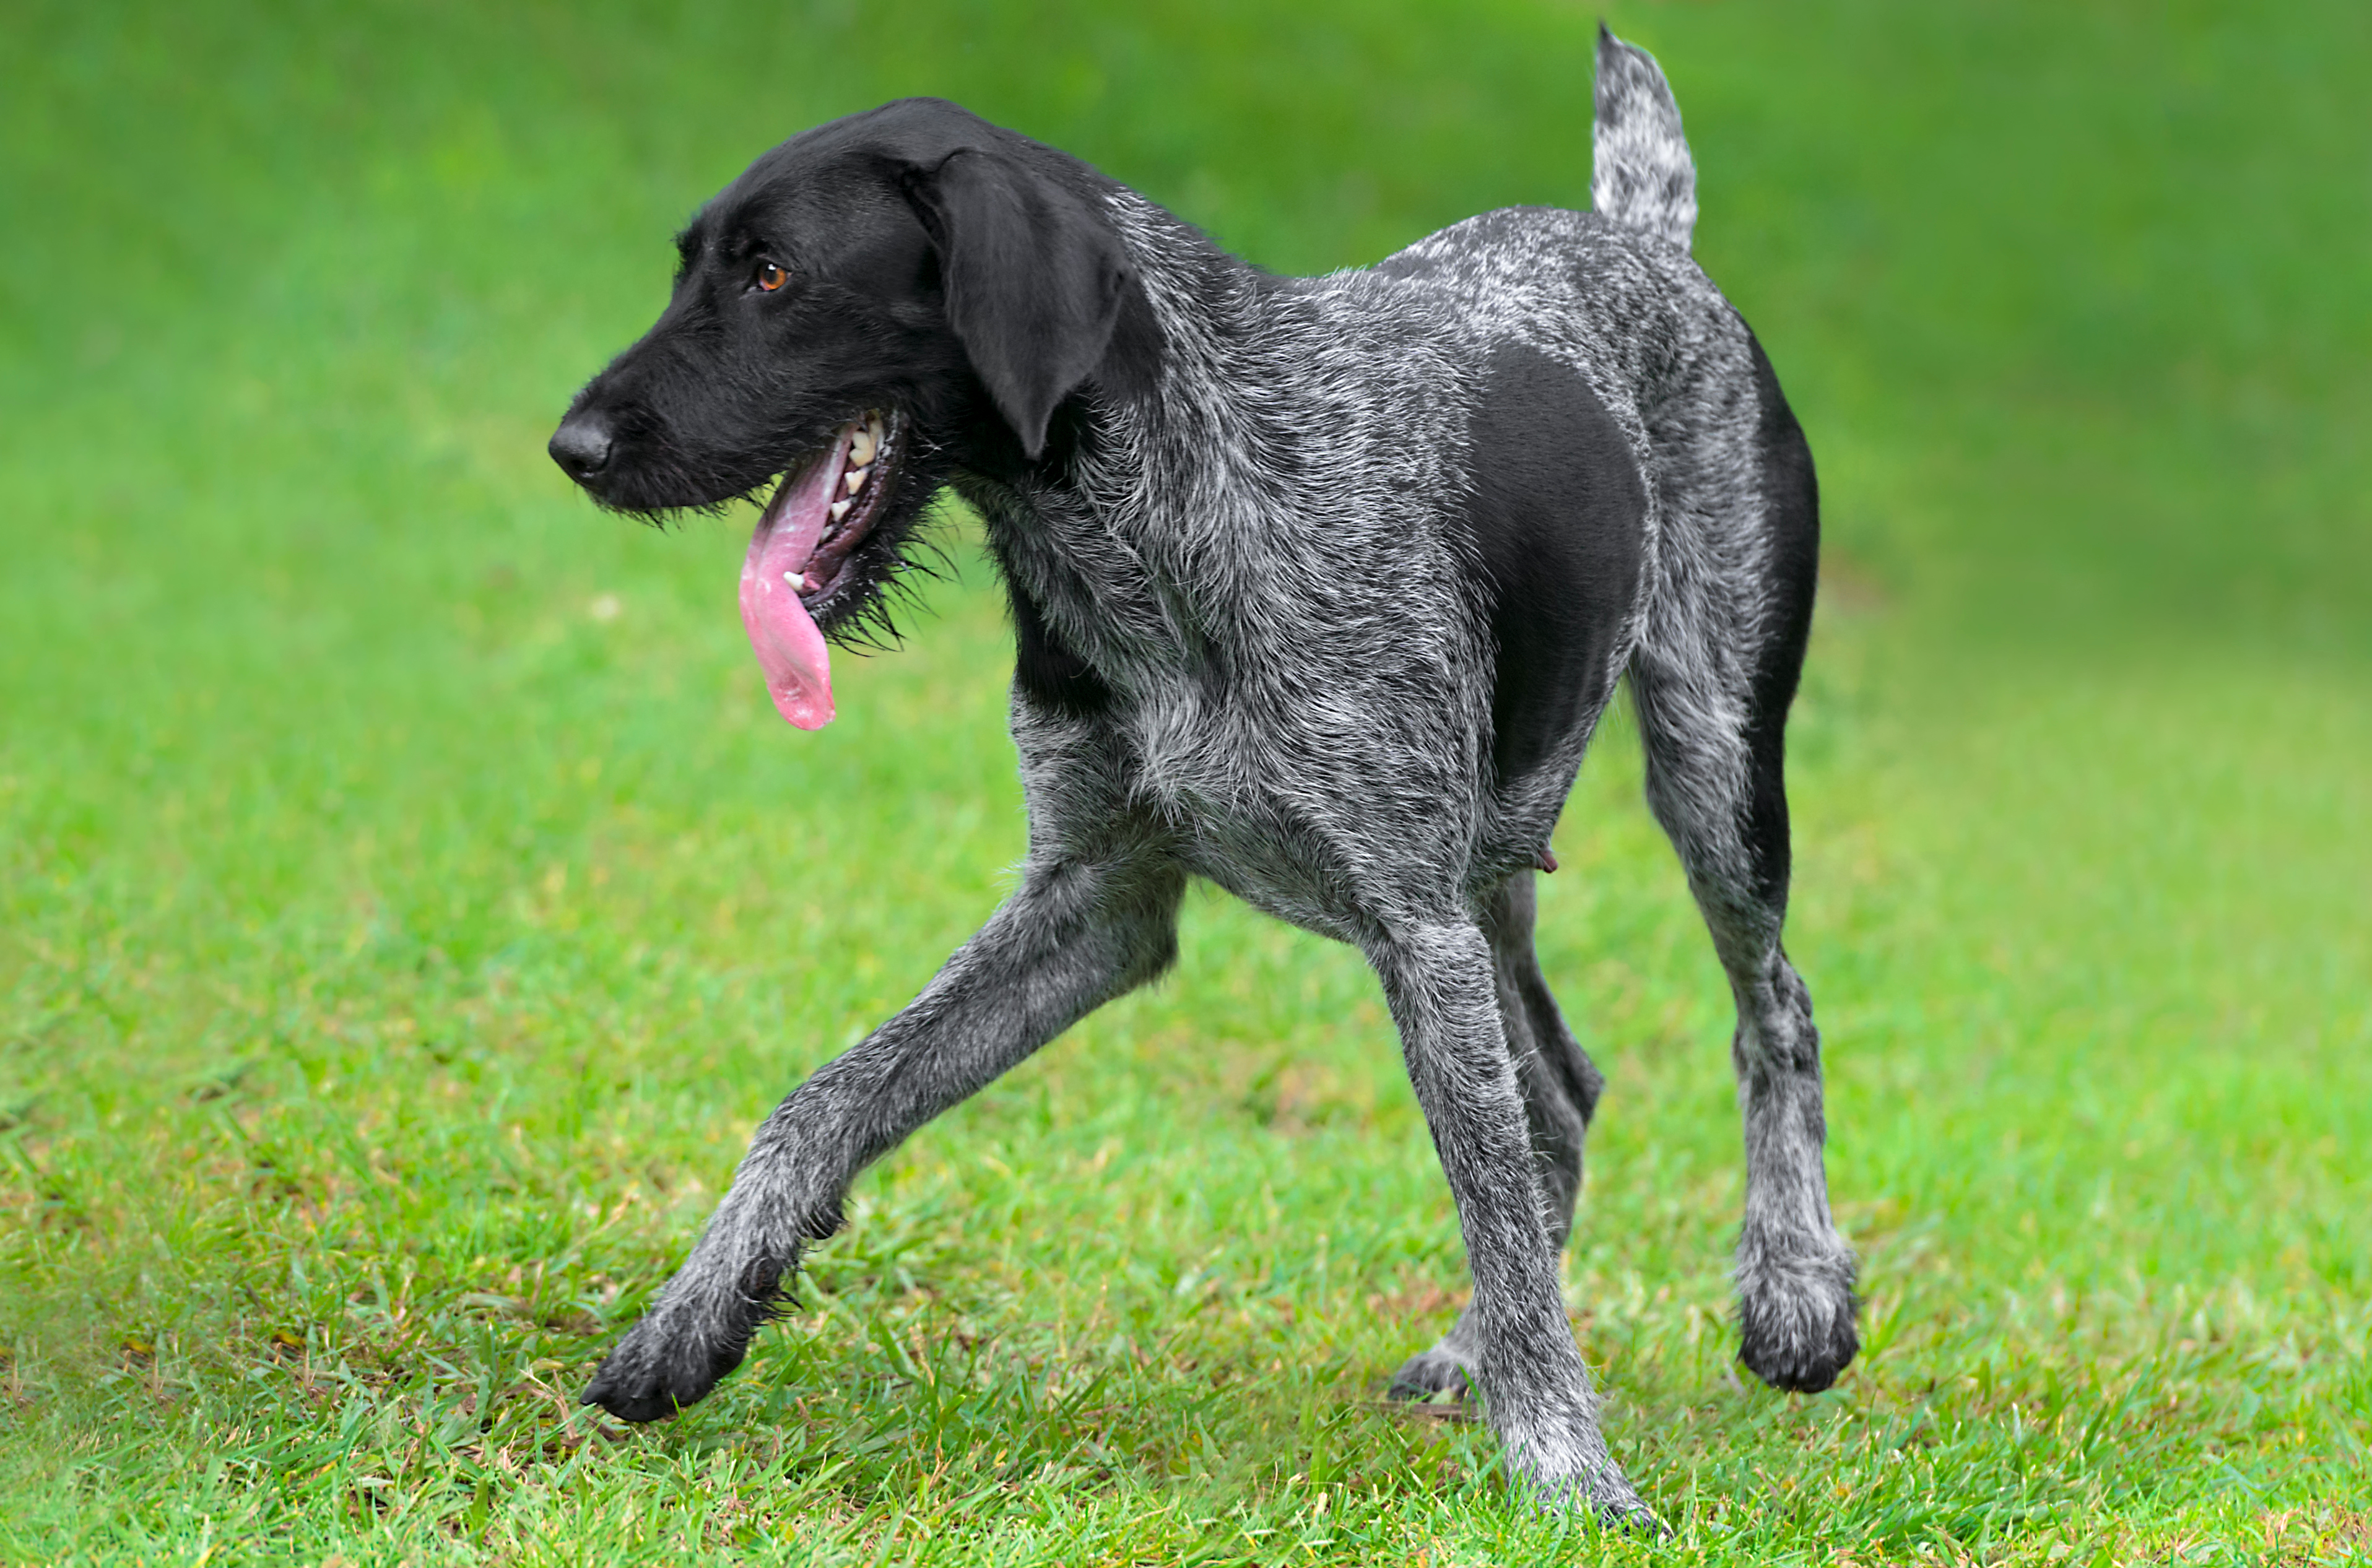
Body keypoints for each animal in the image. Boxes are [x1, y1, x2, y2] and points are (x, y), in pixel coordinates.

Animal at [550, 21, 1850, 1518]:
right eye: (695, 264)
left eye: (773, 276)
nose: (574, 447)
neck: (1163, 510)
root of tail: (1646, 242)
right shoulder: (1100, 902)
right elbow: (825, 1101)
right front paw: (693, 1316)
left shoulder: (1410, 927)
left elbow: (1500, 1218)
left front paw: (1570, 1472)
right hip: (1495, 860)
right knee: (1561, 1095)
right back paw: (1472, 1354)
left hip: (1708, 767)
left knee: (1770, 1009)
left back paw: (1795, 1288)